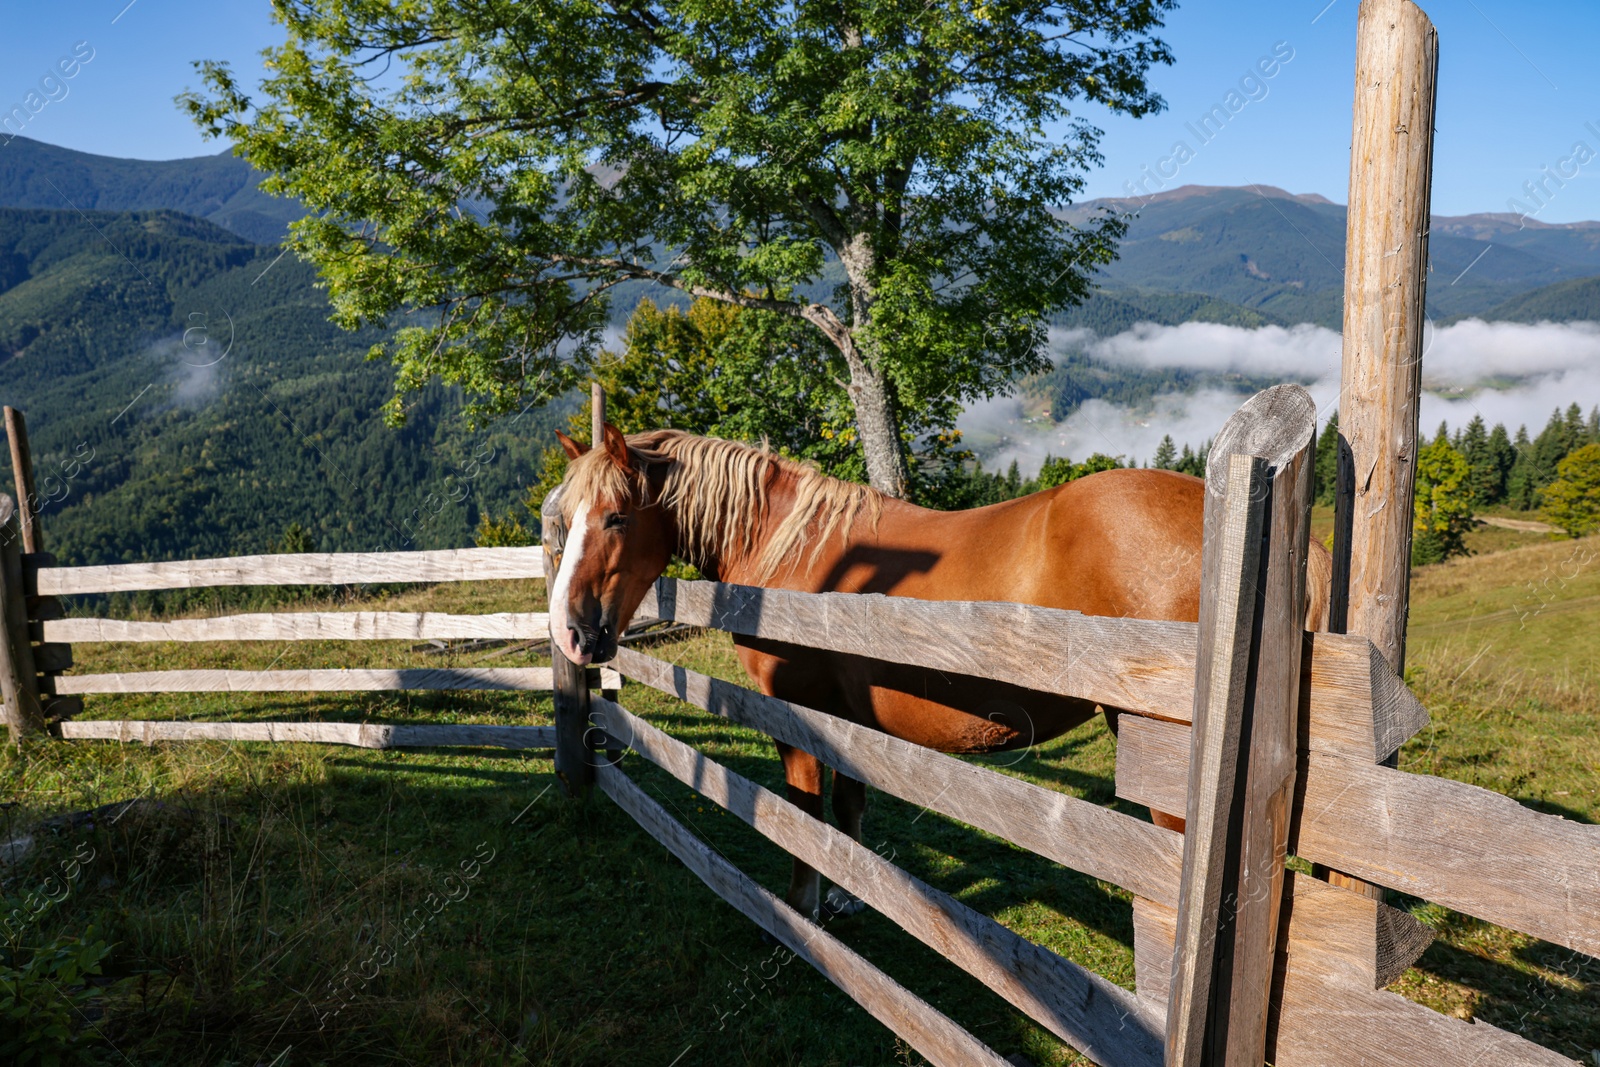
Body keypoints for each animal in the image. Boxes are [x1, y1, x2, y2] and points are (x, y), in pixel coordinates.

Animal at [544, 422, 1331, 921]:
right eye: (567, 518)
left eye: (616, 517)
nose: (573, 634)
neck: (800, 549)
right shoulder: (847, 720)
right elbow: (850, 808)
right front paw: (849, 894)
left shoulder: (797, 717)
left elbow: (804, 814)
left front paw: (802, 909)